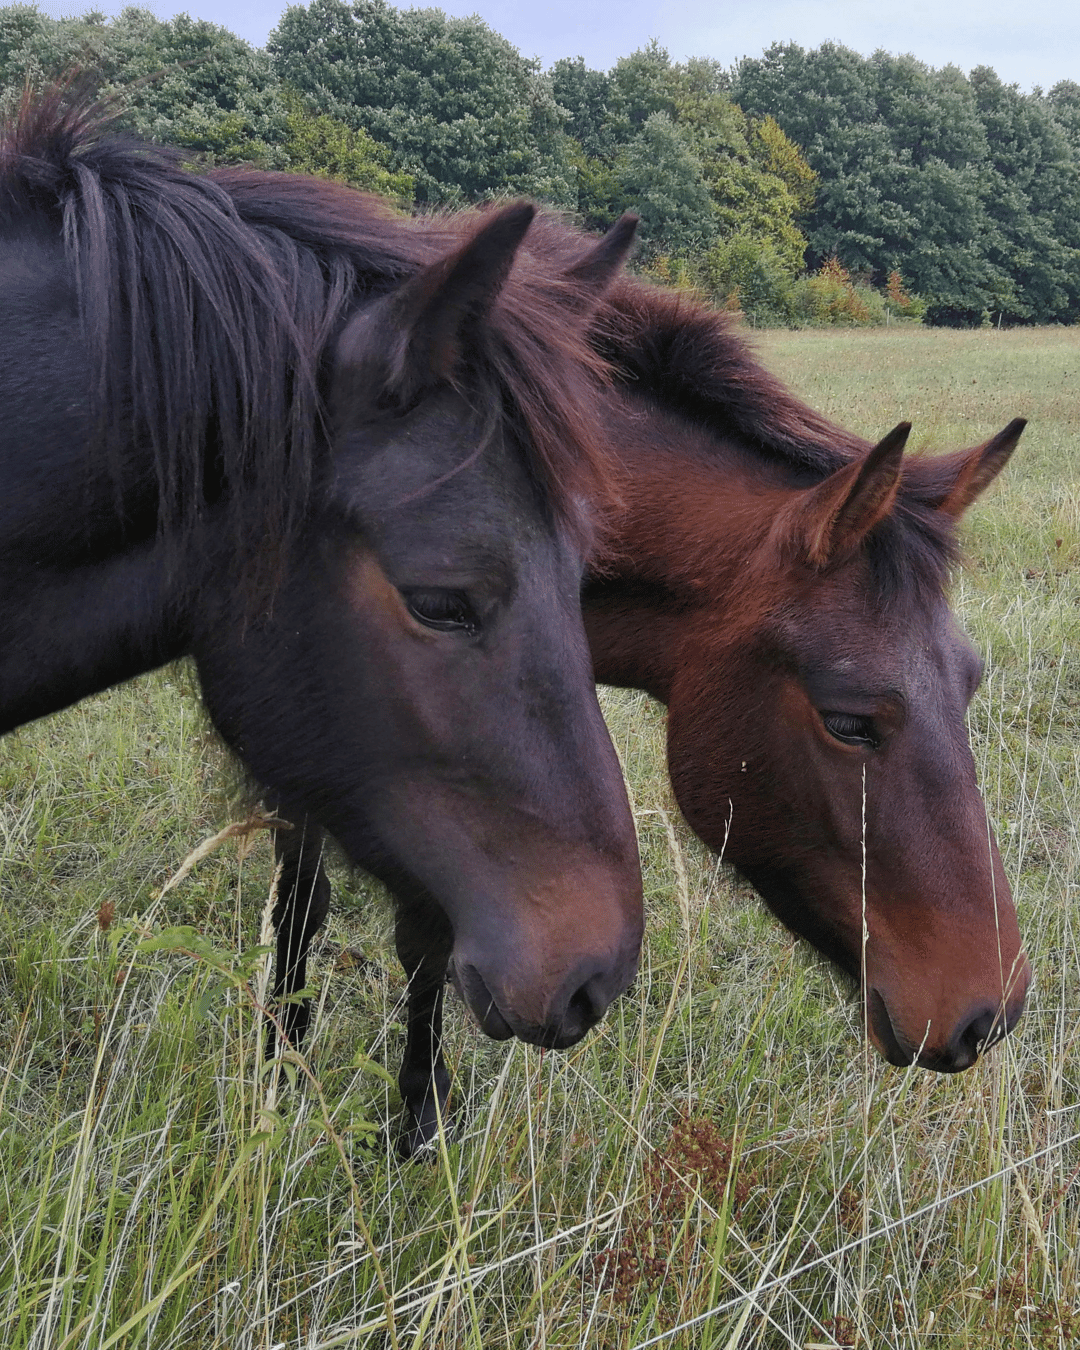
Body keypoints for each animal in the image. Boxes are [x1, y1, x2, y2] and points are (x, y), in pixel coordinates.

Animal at [272, 246, 1030, 1151]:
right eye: (848, 720)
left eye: (970, 680)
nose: (990, 1013)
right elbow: (310, 900)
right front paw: (293, 1064)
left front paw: (416, 1113)